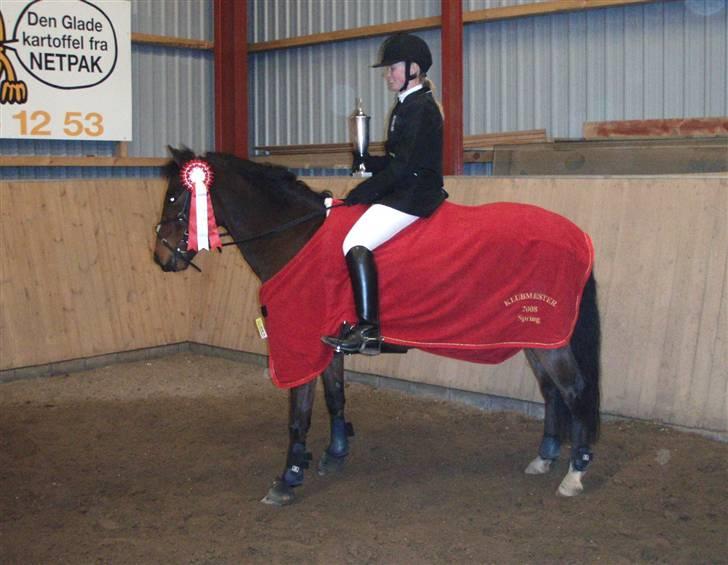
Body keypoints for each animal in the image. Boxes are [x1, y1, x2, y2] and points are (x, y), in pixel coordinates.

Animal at [153, 147, 601, 505]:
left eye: (174, 195)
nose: (161, 257)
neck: (297, 236)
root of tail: (577, 236)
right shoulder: (327, 340)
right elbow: (335, 395)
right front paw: (334, 455)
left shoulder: (300, 339)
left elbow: (299, 413)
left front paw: (287, 478)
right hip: (537, 335)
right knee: (551, 392)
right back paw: (544, 458)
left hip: (548, 337)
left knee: (574, 391)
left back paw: (575, 474)